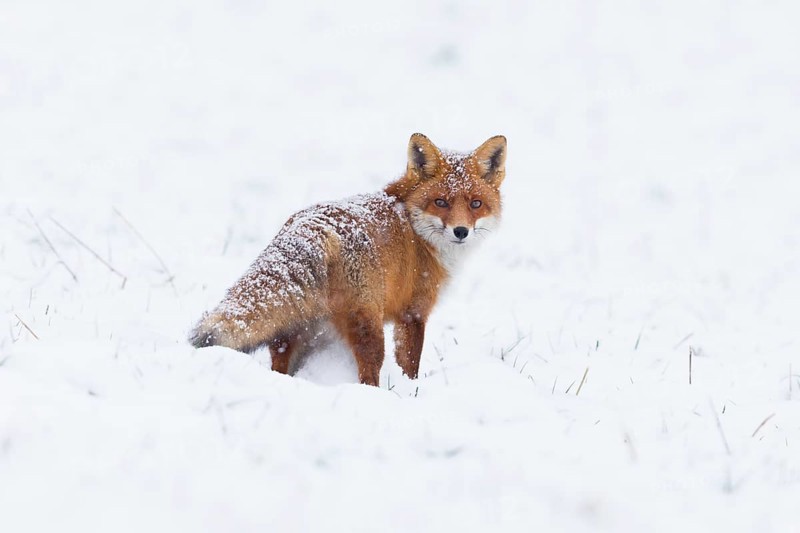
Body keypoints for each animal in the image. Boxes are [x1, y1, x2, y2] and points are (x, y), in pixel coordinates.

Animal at [189, 133, 507, 386]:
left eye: (476, 204)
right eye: (440, 202)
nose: (461, 231)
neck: (415, 229)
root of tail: (313, 225)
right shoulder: (413, 313)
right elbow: (410, 365)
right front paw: (412, 391)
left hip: (296, 330)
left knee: (280, 364)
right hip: (368, 327)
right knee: (368, 374)